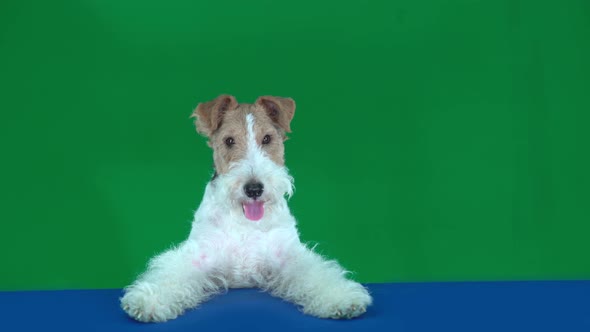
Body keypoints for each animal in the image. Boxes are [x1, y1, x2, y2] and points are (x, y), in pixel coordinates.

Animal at [120, 95, 374, 322]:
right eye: (229, 141)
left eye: (267, 138)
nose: (254, 189)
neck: (245, 222)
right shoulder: (200, 255)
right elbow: (169, 274)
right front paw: (147, 301)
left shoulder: (287, 254)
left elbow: (318, 273)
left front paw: (342, 299)